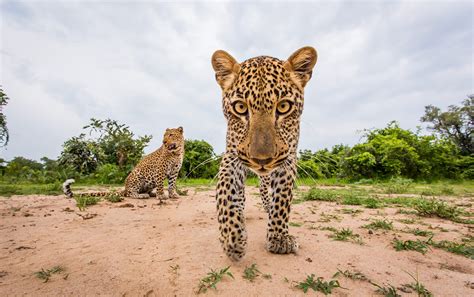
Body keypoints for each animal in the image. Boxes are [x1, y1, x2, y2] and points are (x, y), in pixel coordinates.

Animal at [211, 46, 318, 260]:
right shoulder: (232, 155)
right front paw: (232, 238)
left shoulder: (288, 159)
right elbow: (225, 191)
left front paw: (278, 239)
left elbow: (282, 199)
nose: (262, 160)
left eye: (284, 106)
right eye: (240, 107)